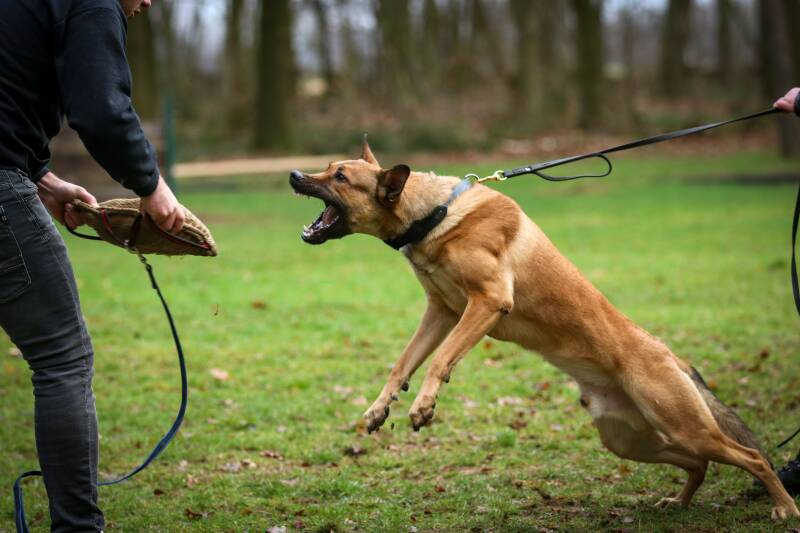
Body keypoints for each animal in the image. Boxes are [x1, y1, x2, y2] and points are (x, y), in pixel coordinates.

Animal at [289, 140, 799, 520]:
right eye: (328, 167)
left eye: (340, 177)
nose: (293, 174)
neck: (433, 213)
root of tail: (672, 356)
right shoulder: (441, 312)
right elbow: (402, 364)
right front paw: (380, 408)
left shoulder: (488, 302)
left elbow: (439, 360)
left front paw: (424, 406)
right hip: (631, 437)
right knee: (699, 462)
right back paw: (679, 501)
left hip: (680, 423)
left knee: (751, 457)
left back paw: (784, 507)